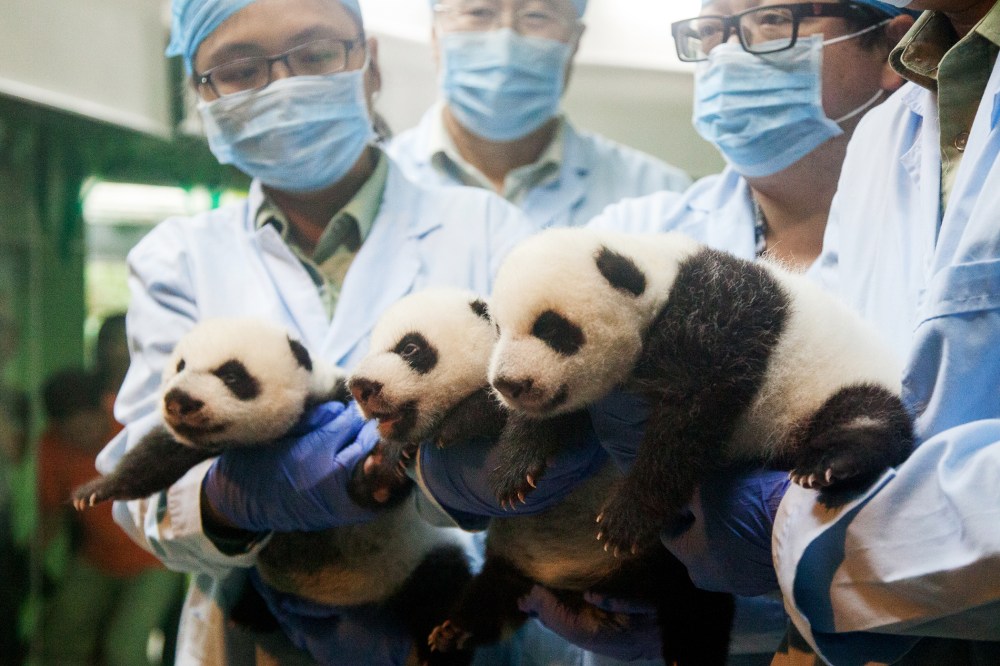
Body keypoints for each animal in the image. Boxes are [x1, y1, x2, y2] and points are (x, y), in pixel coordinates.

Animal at [72, 317, 476, 666]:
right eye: (180, 365)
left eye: (231, 375)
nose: (178, 400)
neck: (268, 439)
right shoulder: (198, 445)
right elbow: (156, 454)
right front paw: (94, 491)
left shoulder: (335, 398)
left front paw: (381, 472)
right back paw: (251, 613)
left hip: (415, 558)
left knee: (440, 584)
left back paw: (443, 645)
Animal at [348, 287, 735, 666]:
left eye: (410, 348)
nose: (359, 387)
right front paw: (382, 466)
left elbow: (546, 409)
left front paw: (460, 425)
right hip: (512, 565)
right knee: (491, 600)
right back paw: (453, 632)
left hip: (662, 560)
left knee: (697, 605)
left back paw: (685, 654)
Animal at [486, 227, 915, 556]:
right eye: (499, 328)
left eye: (552, 329)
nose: (508, 384)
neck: (662, 283)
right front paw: (515, 471)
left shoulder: (716, 324)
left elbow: (690, 419)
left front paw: (626, 519)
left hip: (842, 380)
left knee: (866, 414)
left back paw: (828, 464)